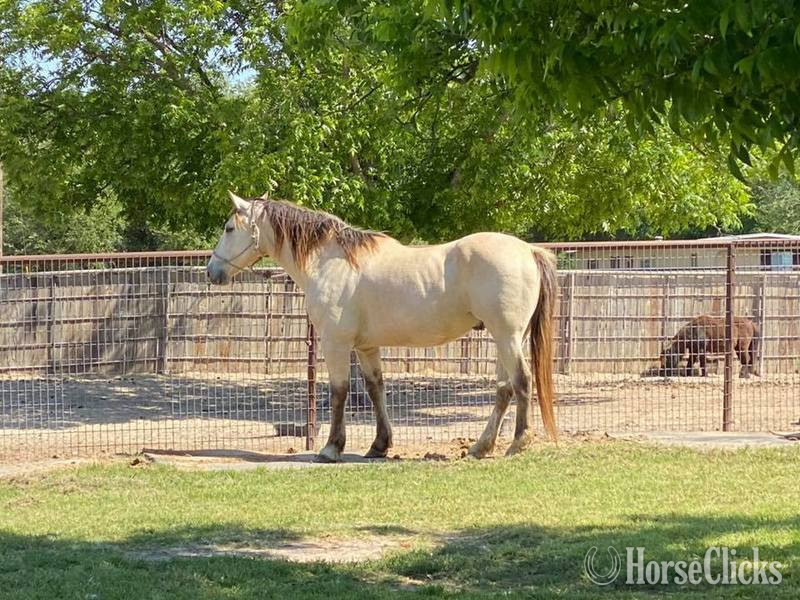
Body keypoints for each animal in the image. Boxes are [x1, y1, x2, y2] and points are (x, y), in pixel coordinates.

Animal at [207, 192, 558, 462]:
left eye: (228, 228)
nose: (212, 271)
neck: (331, 262)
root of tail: (528, 250)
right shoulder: (366, 347)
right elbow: (376, 389)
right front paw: (379, 445)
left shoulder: (335, 343)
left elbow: (339, 392)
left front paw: (331, 448)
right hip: (505, 339)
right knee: (504, 390)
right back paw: (480, 447)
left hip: (507, 336)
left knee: (521, 382)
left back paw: (518, 442)